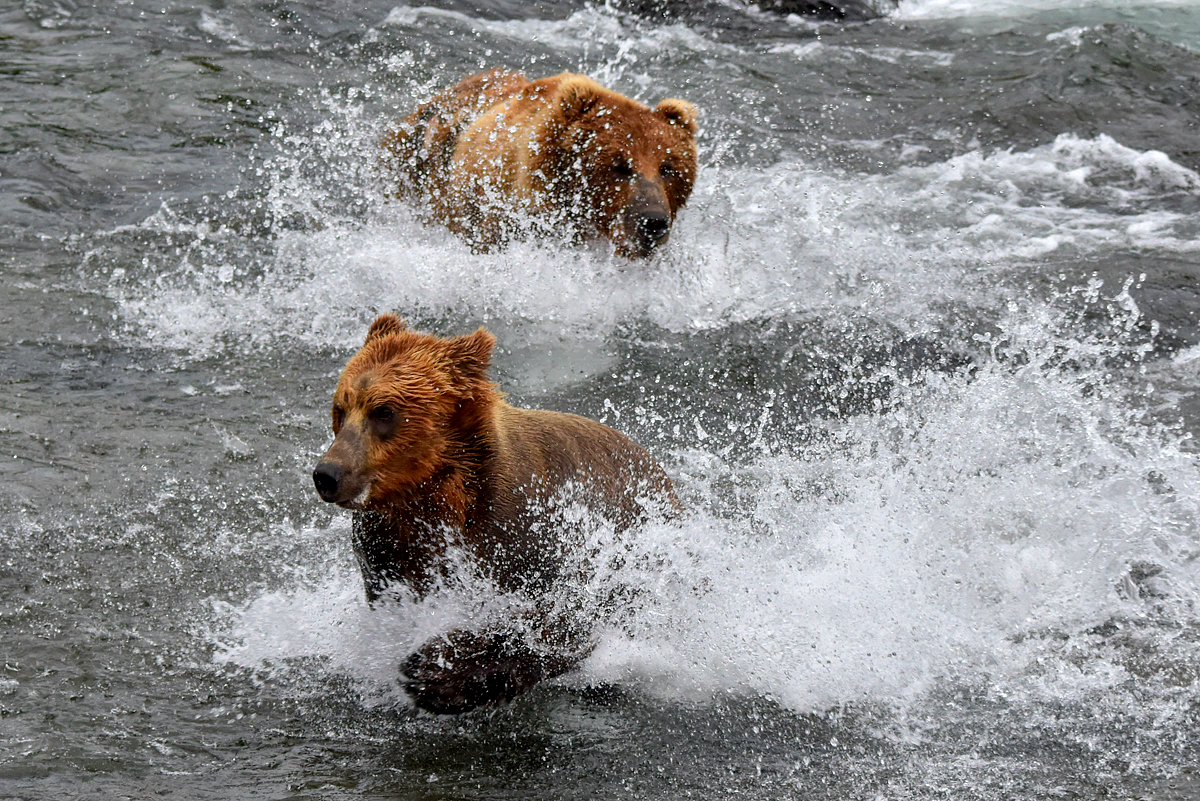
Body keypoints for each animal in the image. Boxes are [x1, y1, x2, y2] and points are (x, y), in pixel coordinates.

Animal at [314, 311, 681, 714]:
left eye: (384, 411)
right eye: (340, 408)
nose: (327, 474)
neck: (438, 495)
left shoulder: (528, 527)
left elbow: (562, 619)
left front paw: (436, 673)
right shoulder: (386, 548)